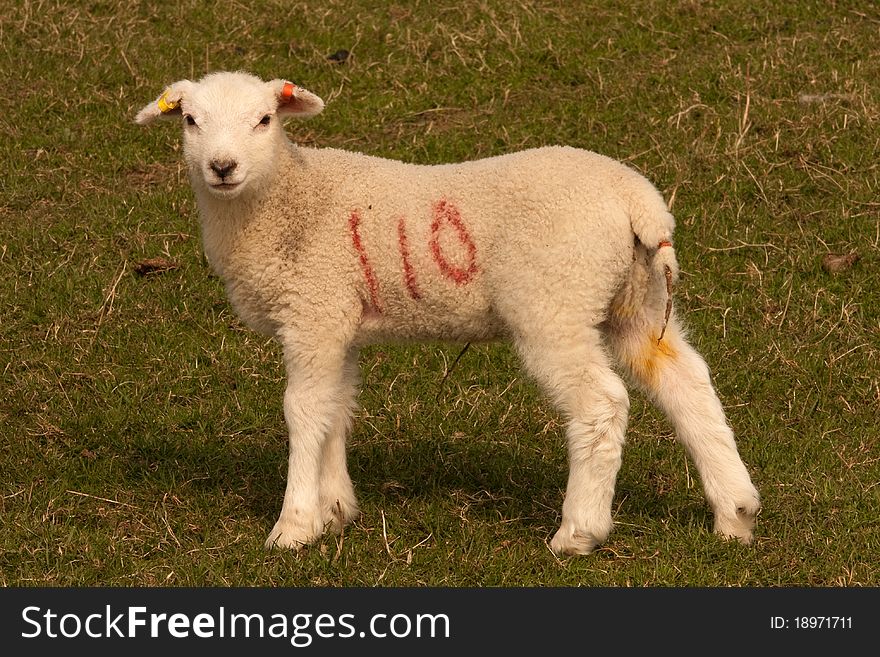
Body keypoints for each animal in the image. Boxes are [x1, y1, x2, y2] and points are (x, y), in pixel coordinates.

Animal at [134, 72, 760, 552]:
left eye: (265, 119)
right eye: (190, 121)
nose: (221, 166)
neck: (283, 200)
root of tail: (640, 203)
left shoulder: (314, 309)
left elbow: (304, 411)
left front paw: (294, 527)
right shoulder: (341, 321)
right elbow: (337, 406)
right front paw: (336, 510)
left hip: (552, 303)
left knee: (601, 404)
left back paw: (578, 532)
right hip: (638, 298)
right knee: (685, 379)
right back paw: (734, 512)